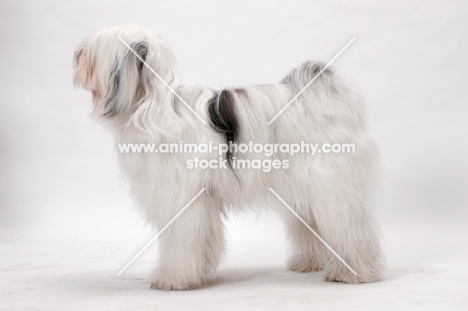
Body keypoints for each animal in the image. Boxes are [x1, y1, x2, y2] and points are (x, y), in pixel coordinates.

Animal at [72, 24, 380, 290]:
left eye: (90, 50)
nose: (75, 56)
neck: (153, 105)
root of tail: (326, 93)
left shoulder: (182, 199)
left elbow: (181, 240)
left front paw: (173, 278)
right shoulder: (201, 201)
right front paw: (200, 274)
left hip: (331, 185)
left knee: (350, 227)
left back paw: (353, 272)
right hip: (304, 189)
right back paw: (310, 263)